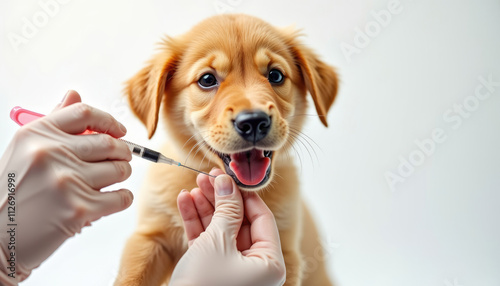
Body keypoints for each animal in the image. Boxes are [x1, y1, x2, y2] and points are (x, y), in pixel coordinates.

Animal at [115, 13, 338, 286]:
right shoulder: (150, 238)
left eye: (275, 75)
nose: (253, 121)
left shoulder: (287, 253)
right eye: (207, 80)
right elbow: (132, 276)